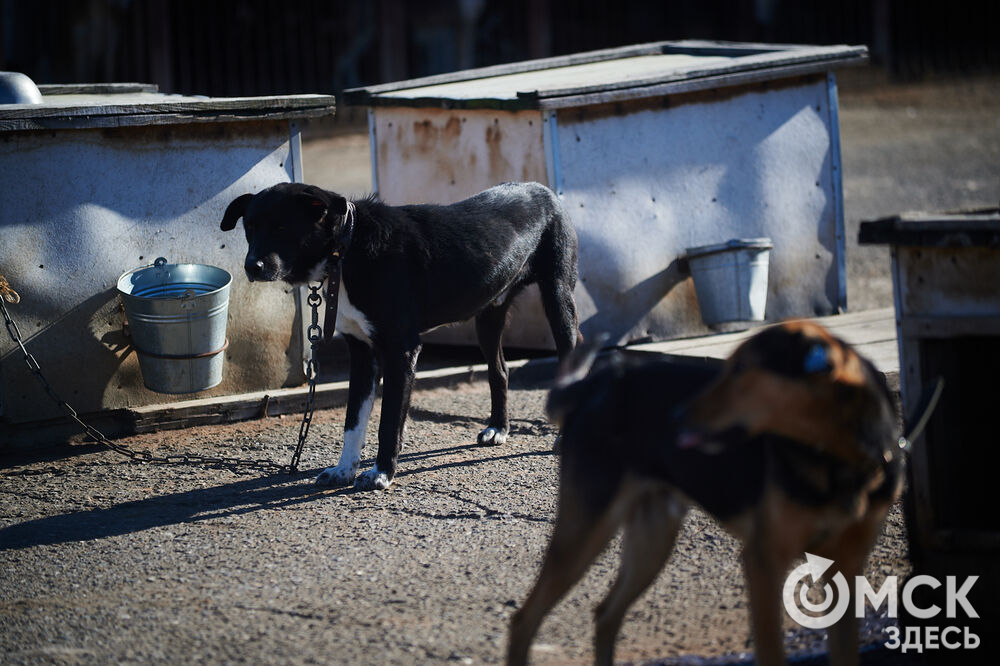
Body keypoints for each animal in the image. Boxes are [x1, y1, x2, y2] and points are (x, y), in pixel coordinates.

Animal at [219, 180, 580, 488]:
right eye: (250, 228)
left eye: (282, 227)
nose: (252, 267)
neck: (347, 248)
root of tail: (543, 189)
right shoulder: (362, 354)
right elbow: (353, 420)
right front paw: (344, 469)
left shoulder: (401, 351)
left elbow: (389, 420)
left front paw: (381, 473)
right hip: (488, 316)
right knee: (500, 370)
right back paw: (498, 428)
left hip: (558, 300)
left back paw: (564, 438)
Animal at [508, 320, 908, 660]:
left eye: (742, 369)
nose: (676, 417)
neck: (839, 459)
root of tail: (597, 382)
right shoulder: (763, 561)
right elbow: (771, 651)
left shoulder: (847, 566)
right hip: (585, 531)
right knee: (524, 619)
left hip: (652, 540)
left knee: (606, 614)